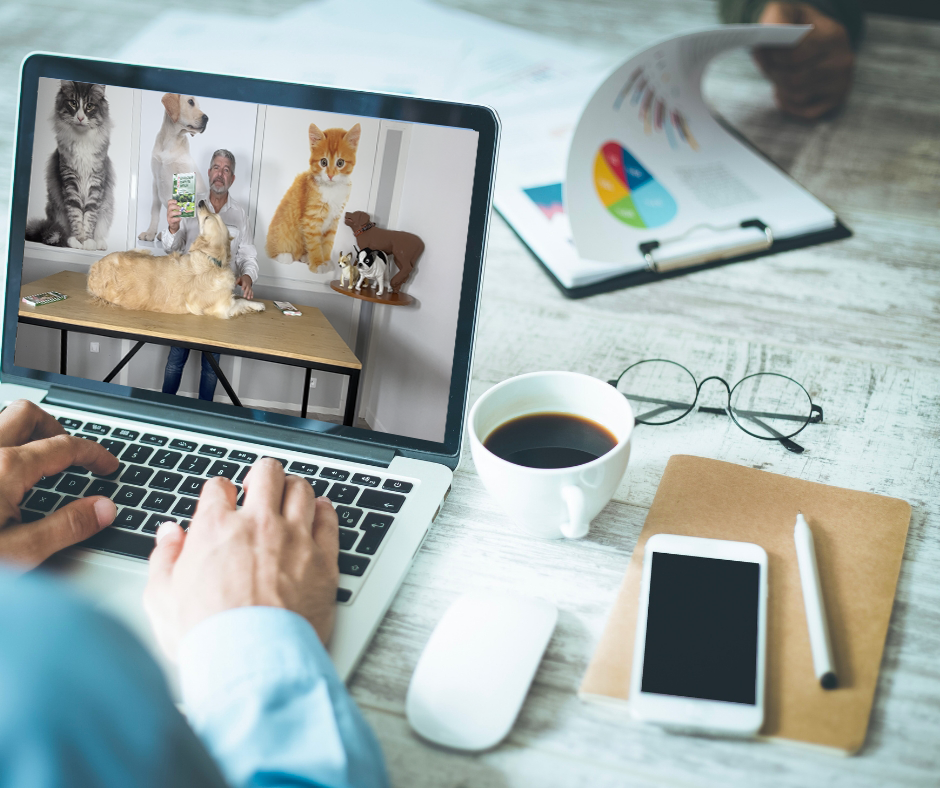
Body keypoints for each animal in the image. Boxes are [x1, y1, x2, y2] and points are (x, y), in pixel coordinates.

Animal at [25, 81, 114, 251]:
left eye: (89, 106)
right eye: (73, 103)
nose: (80, 117)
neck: (82, 140)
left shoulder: (96, 182)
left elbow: (90, 217)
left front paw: (88, 241)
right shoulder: (70, 181)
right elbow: (76, 215)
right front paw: (79, 241)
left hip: (106, 207)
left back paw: (99, 243)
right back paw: (67, 240)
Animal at [138, 92, 207, 242]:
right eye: (191, 102)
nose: (207, 118)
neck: (171, 140)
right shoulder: (156, 181)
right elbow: (154, 211)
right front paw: (150, 233)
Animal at [272, 121, 364, 270]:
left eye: (340, 163)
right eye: (323, 162)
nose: (330, 175)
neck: (332, 189)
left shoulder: (334, 219)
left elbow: (327, 243)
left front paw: (326, 261)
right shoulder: (311, 219)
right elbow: (314, 244)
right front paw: (318, 264)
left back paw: (305, 257)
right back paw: (285, 256)